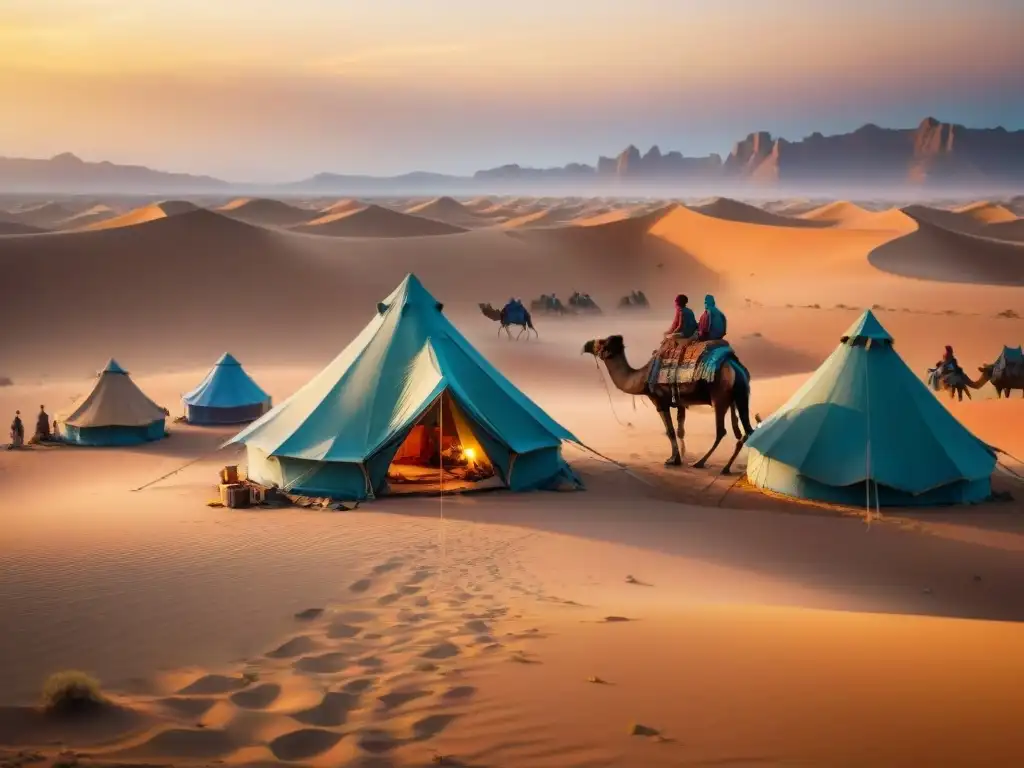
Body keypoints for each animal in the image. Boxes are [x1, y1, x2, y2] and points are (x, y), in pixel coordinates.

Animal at [581, 335, 757, 475]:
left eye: (601, 342)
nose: (586, 345)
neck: (642, 377)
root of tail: (735, 366)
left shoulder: (659, 401)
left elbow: (670, 431)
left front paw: (673, 460)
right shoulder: (680, 402)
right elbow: (680, 430)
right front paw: (681, 456)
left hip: (719, 397)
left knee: (722, 431)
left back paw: (700, 463)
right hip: (736, 397)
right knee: (744, 432)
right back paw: (727, 468)